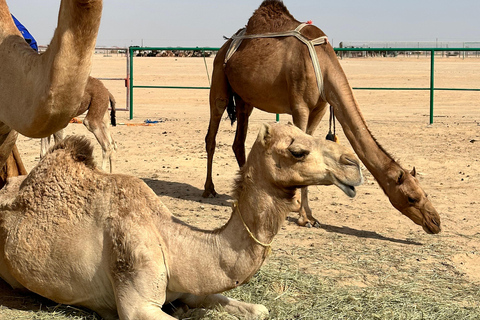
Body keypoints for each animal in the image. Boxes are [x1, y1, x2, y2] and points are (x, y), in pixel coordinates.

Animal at [0, 123, 362, 320]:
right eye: (298, 151)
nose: (353, 165)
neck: (171, 241)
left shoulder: (189, 287)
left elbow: (259, 310)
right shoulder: (136, 301)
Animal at [201, 0, 440, 235]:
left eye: (425, 193)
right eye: (411, 198)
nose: (435, 222)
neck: (323, 66)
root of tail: (226, 45)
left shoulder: (320, 109)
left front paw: (309, 215)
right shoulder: (300, 107)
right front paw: (302, 216)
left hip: (244, 98)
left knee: (238, 140)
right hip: (219, 79)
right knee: (212, 132)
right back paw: (209, 189)